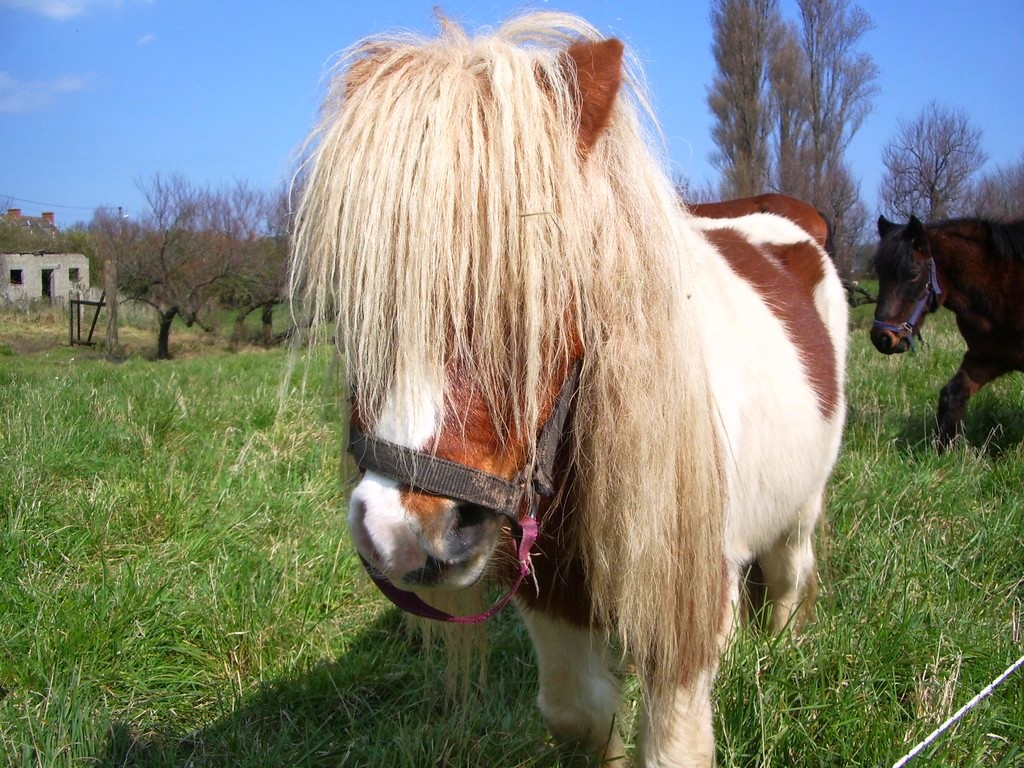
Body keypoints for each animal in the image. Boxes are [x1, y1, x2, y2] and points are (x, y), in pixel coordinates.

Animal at [290, 13, 847, 768]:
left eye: (541, 295)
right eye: (360, 303)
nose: (401, 532)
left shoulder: (678, 612)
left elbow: (673, 741)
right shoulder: (551, 590)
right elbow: (579, 713)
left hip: (801, 506)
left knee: (789, 576)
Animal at [868, 214, 1024, 448]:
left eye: (913, 274)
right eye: (880, 274)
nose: (882, 338)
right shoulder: (986, 358)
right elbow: (951, 394)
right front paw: (946, 449)